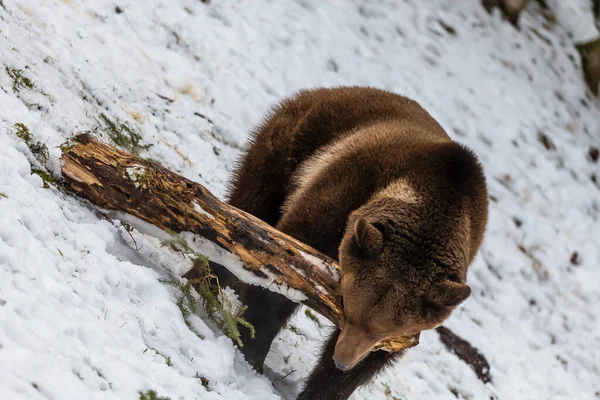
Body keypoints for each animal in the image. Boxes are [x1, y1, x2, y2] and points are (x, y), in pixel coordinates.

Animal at [206, 86, 488, 398]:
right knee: (248, 207)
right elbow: (282, 274)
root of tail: (333, 91)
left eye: (382, 330)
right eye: (350, 313)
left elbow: (371, 363)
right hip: (289, 147)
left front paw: (324, 387)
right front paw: (252, 348)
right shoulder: (344, 191)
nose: (342, 359)